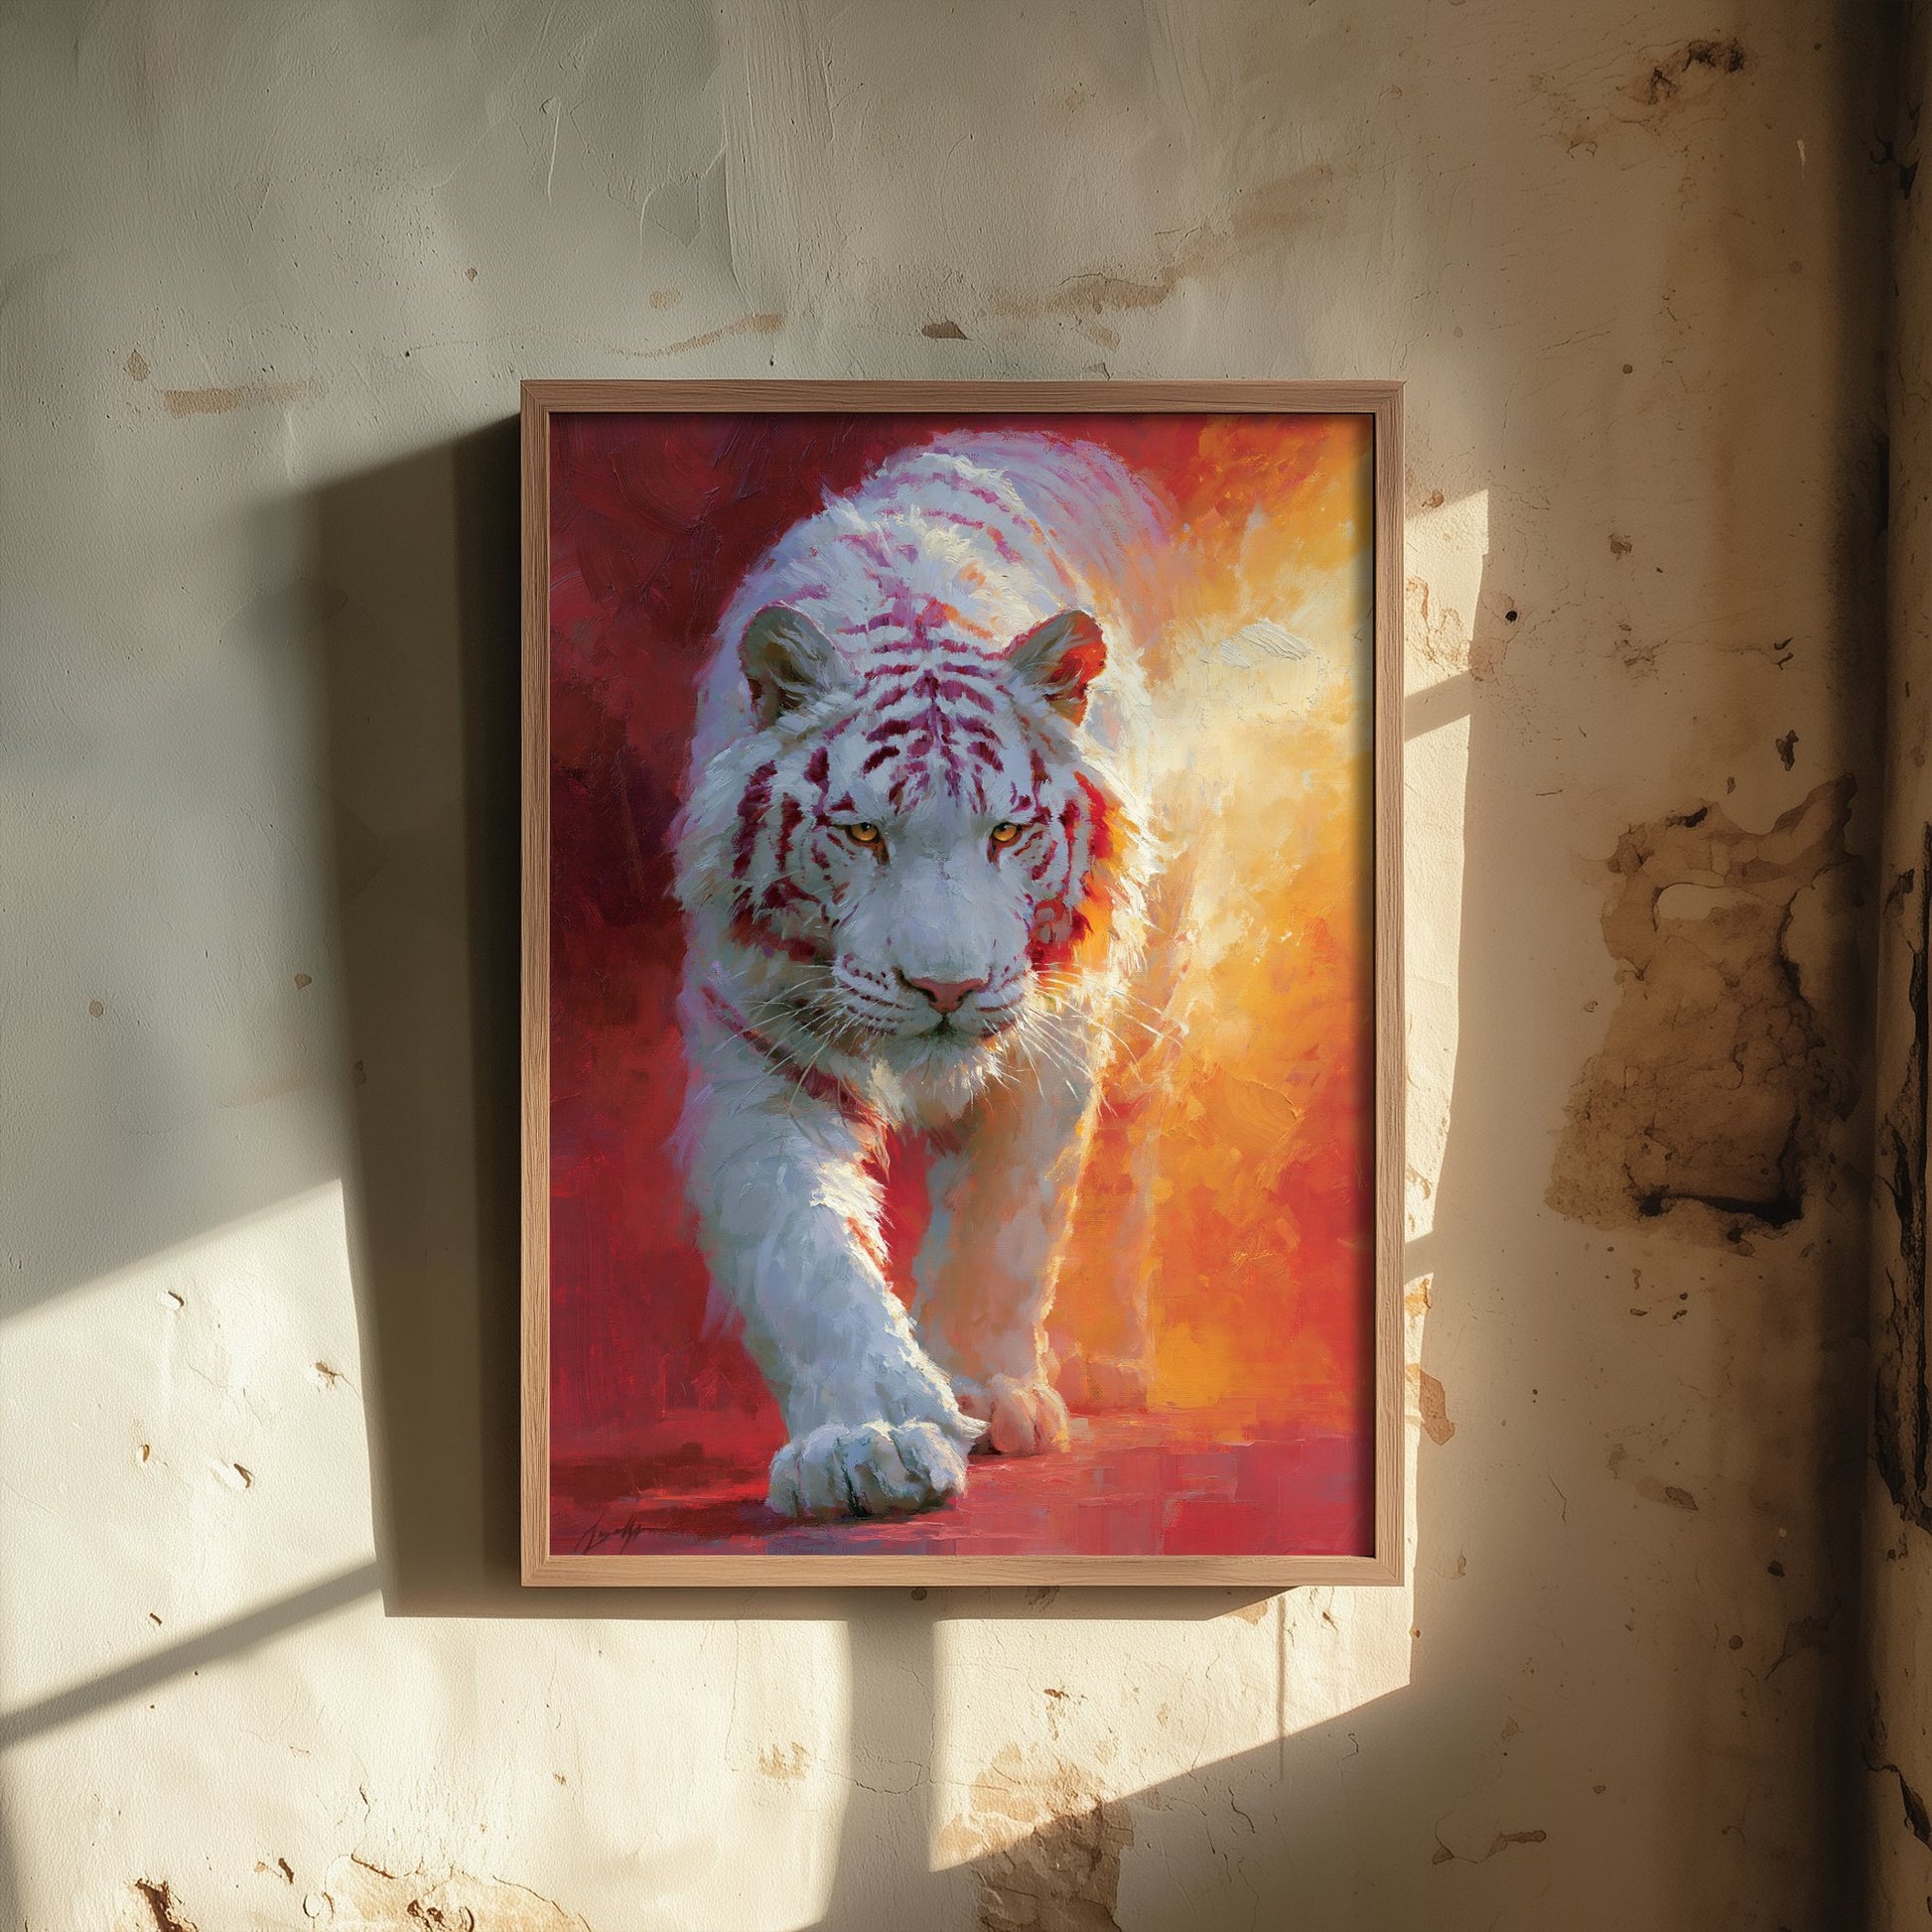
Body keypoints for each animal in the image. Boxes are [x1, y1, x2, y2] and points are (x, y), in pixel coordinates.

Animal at [672, 431, 1166, 1521]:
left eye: (1008, 831)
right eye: (861, 831)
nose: (946, 988)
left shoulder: (1050, 1041)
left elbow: (1003, 1225)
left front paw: (986, 1394)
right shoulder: (761, 1057)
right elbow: (807, 1253)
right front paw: (871, 1444)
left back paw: (1108, 1361)